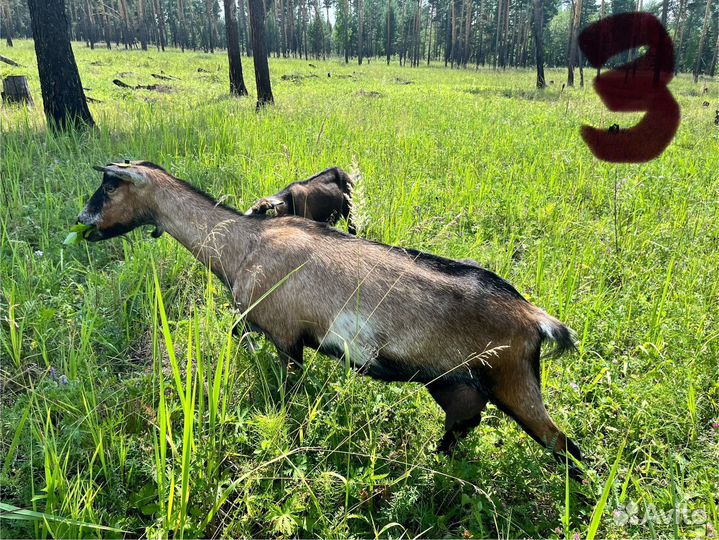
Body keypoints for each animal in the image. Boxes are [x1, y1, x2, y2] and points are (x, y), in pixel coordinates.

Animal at [77, 161, 583, 479]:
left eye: (109, 185)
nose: (82, 218)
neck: (244, 244)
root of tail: (532, 316)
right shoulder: (256, 321)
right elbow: (236, 335)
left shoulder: (286, 338)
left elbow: (287, 392)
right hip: (455, 383)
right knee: (464, 421)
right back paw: (430, 464)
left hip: (512, 381)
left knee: (563, 445)